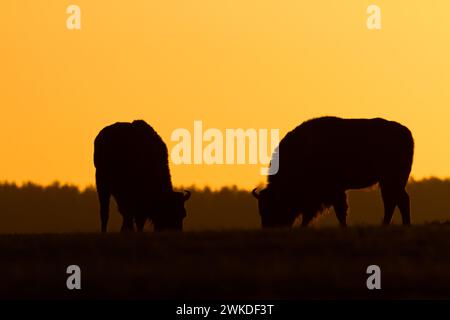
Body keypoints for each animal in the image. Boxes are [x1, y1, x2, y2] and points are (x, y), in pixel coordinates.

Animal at [251, 117, 414, 228]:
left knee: (398, 200)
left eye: (273, 206)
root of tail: (406, 132)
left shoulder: (332, 191)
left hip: (391, 180)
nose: (269, 228)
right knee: (394, 201)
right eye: (261, 209)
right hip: (389, 182)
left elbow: (338, 211)